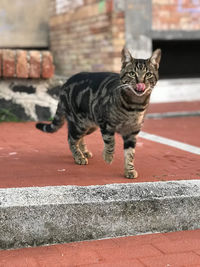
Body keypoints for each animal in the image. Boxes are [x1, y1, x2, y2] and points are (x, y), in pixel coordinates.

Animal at [36, 47, 161, 179]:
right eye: (132, 73)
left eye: (148, 74)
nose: (140, 83)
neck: (134, 105)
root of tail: (65, 84)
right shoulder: (105, 123)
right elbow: (110, 142)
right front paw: (108, 156)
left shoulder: (132, 132)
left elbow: (130, 154)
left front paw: (129, 170)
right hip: (79, 124)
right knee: (71, 138)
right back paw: (78, 156)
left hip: (90, 126)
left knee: (79, 138)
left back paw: (84, 152)